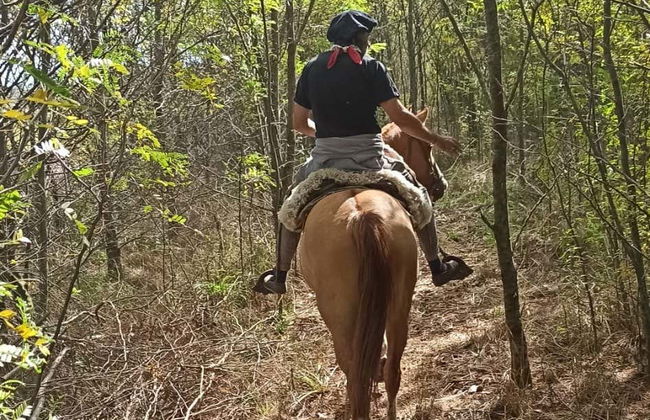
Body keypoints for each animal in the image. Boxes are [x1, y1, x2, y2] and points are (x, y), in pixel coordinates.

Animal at [296, 109, 440, 419]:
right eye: (426, 147)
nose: (440, 185)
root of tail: (363, 216)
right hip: (399, 301)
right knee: (393, 368)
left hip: (338, 314)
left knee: (353, 373)